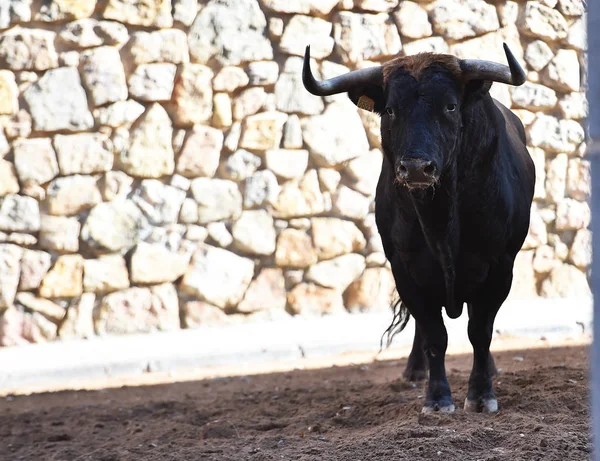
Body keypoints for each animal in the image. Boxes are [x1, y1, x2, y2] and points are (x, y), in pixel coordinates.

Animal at [304, 44, 536, 414]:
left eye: (450, 106)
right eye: (390, 109)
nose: (415, 168)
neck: (441, 221)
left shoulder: (500, 267)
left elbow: (480, 331)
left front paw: (481, 394)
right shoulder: (405, 268)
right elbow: (434, 334)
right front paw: (437, 398)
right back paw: (414, 370)